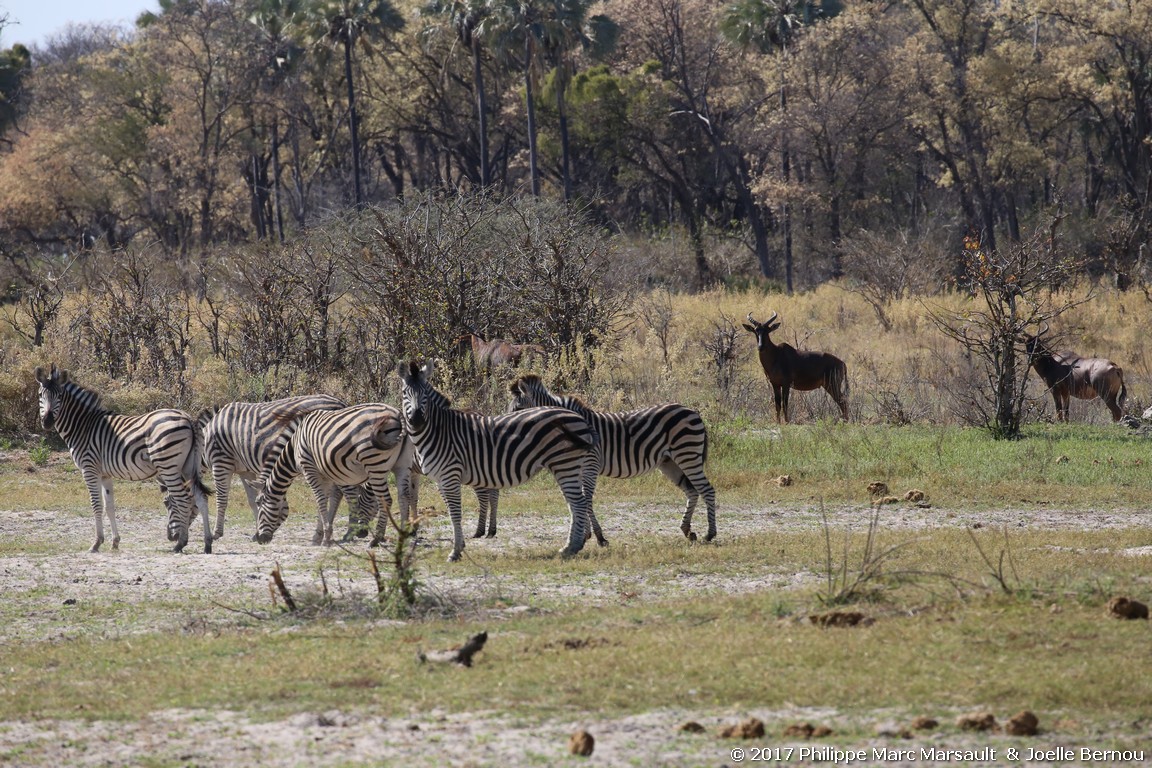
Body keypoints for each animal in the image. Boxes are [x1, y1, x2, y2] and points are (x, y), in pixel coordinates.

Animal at [36, 366, 214, 552]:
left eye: (60, 396)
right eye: (41, 394)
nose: (47, 421)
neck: (82, 426)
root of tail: (188, 418)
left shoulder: (89, 469)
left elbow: (96, 505)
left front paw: (96, 543)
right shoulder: (105, 474)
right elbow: (109, 507)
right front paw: (115, 542)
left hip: (169, 466)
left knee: (184, 500)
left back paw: (180, 543)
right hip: (189, 466)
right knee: (201, 498)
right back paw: (207, 543)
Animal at [255, 402, 414, 545]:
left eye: (259, 503)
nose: (258, 539)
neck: (294, 447)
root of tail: (397, 413)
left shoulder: (309, 469)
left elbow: (320, 501)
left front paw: (326, 537)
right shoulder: (326, 475)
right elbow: (324, 501)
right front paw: (319, 536)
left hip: (374, 464)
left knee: (386, 500)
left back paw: (376, 539)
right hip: (402, 465)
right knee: (404, 497)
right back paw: (403, 535)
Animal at [398, 356, 599, 561]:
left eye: (425, 393)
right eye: (405, 392)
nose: (416, 420)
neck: (438, 431)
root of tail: (579, 417)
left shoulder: (450, 475)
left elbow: (454, 513)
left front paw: (455, 551)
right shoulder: (440, 479)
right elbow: (443, 508)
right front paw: (458, 546)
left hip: (565, 463)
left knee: (578, 503)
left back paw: (571, 547)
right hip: (567, 465)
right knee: (575, 503)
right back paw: (574, 545)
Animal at [509, 373, 714, 543]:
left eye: (518, 408)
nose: (509, 428)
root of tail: (691, 411)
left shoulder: (590, 466)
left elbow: (586, 499)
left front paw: (598, 537)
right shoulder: (577, 468)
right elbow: (580, 499)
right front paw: (586, 535)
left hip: (687, 454)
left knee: (707, 489)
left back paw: (710, 534)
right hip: (669, 462)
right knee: (692, 491)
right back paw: (687, 530)